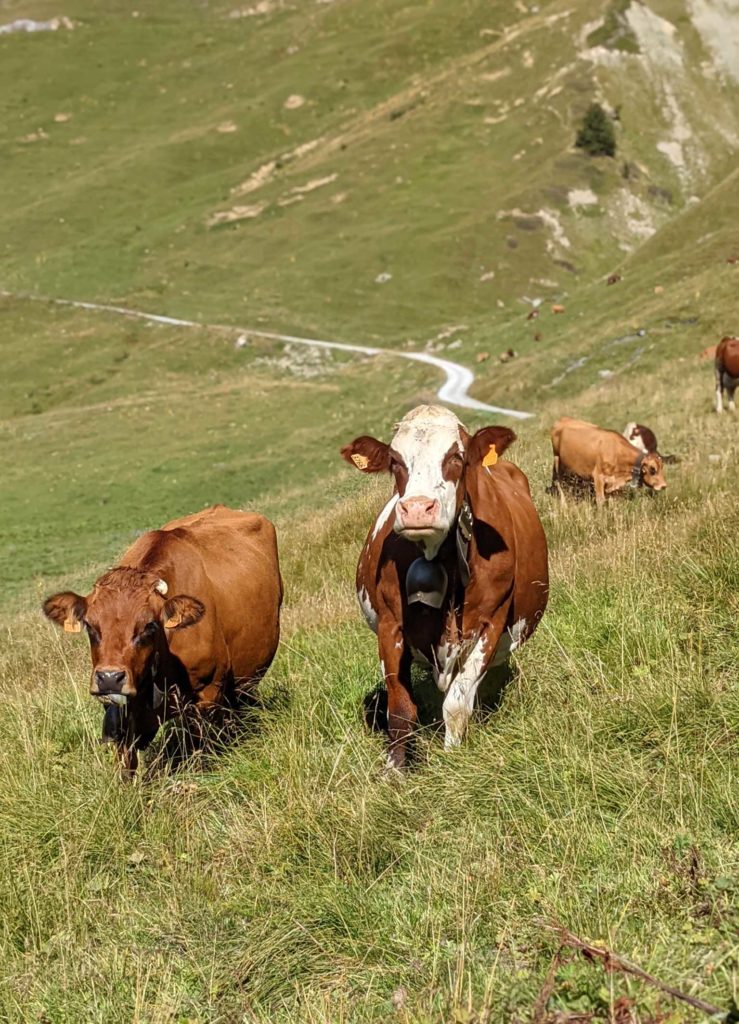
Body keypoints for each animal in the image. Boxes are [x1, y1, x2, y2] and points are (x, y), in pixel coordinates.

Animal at [42, 503, 282, 774]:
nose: (110, 678)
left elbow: (197, 748)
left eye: (149, 626)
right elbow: (126, 762)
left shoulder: (207, 695)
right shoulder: (119, 712)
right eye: (90, 626)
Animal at [339, 403, 548, 765]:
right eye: (395, 461)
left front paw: (454, 757)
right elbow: (400, 709)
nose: (417, 509)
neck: (440, 555)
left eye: (457, 456)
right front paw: (394, 769)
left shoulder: (491, 622)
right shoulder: (390, 626)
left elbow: (457, 704)